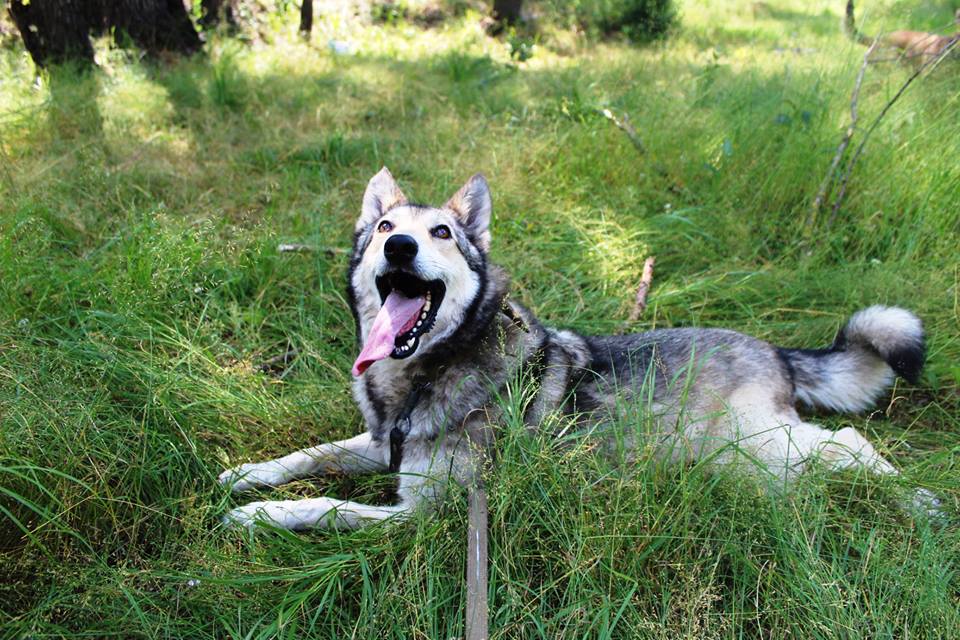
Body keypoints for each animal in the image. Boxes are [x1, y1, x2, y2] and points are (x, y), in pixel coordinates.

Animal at [219, 169, 928, 528]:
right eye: (386, 227)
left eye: (442, 232)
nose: (398, 246)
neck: (423, 374)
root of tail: (777, 352)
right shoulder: (384, 446)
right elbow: (313, 454)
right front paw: (246, 475)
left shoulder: (422, 512)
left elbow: (327, 505)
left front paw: (261, 513)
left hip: (753, 450)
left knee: (850, 444)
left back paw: (914, 498)